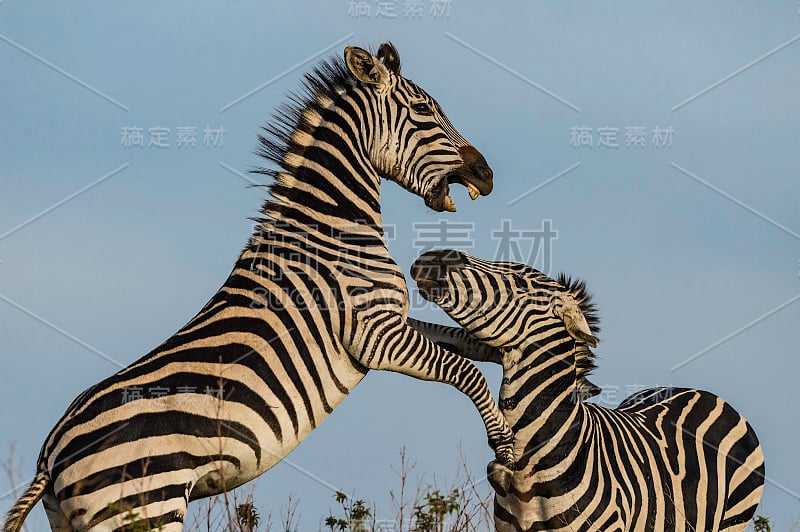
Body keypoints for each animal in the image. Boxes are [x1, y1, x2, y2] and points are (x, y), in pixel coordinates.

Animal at [4, 44, 512, 532]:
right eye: (423, 110)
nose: (487, 174)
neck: (331, 231)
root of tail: (49, 456)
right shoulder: (372, 334)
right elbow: (463, 372)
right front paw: (504, 444)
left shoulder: (390, 321)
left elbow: (457, 340)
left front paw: (501, 348)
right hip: (147, 506)